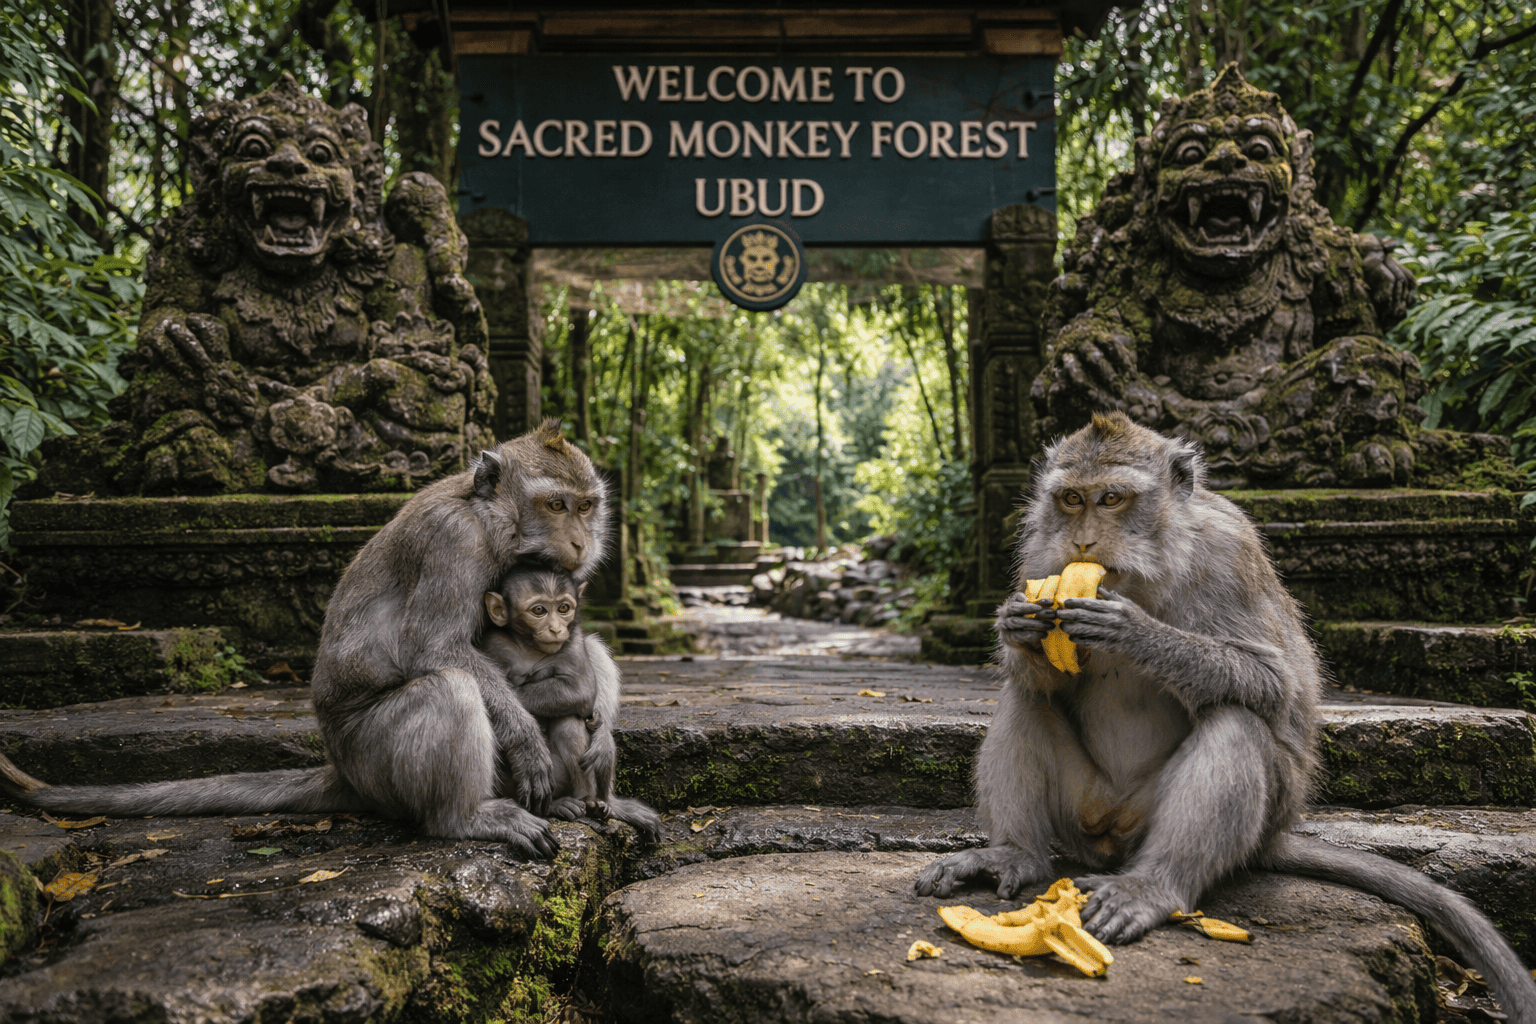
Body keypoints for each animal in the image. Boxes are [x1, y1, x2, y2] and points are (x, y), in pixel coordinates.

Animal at [0, 419, 613, 861]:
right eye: (554, 504)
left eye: (586, 506)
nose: (581, 543)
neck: (489, 520)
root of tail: (341, 767)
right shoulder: (452, 541)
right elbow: (435, 649)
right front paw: (525, 737)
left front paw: (600, 732)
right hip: (372, 756)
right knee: (448, 688)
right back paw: (463, 818)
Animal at [479, 563, 662, 840]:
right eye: (539, 610)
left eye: (563, 608)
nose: (556, 628)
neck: (529, 647)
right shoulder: (494, 642)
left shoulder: (571, 640)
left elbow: (580, 688)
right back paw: (554, 806)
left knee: (568, 721)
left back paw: (595, 803)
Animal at [915, 412, 1536, 1023]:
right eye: (1071, 499)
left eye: (1112, 499)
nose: (1083, 539)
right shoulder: (1040, 557)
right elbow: (1042, 679)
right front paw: (1018, 626)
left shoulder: (1229, 549)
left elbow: (1274, 681)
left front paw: (1136, 632)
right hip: (1083, 812)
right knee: (1026, 699)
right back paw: (1014, 854)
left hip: (1227, 816)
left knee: (1236, 721)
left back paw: (1154, 887)